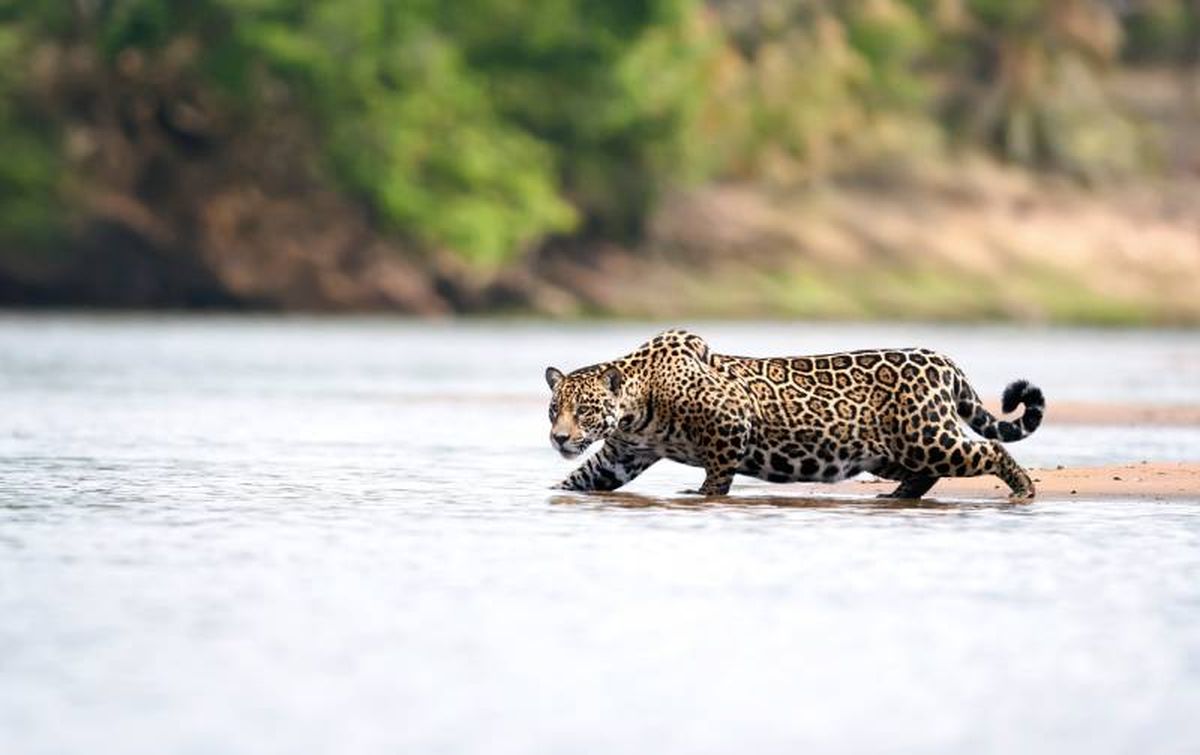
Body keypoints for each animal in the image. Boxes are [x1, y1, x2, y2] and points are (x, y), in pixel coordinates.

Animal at [544, 329, 1045, 500]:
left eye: (584, 409)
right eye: (554, 409)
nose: (559, 438)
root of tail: (943, 359)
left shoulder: (730, 423)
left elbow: (718, 475)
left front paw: (701, 494)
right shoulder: (623, 455)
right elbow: (582, 477)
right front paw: (552, 492)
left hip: (926, 438)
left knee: (989, 449)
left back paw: (1024, 489)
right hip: (891, 451)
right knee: (927, 473)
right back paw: (898, 496)